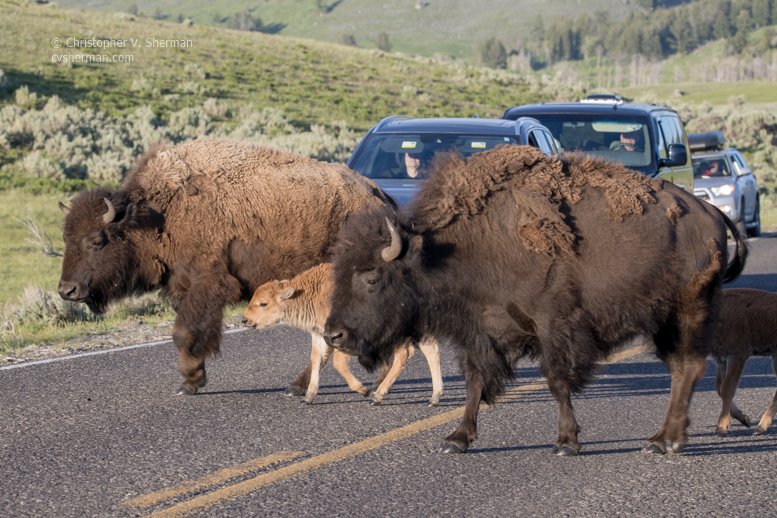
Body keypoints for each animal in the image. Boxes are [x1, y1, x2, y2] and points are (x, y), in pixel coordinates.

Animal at [58, 139, 390, 395]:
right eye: (65, 237)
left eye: (97, 240)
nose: (67, 290)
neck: (160, 212)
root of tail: (377, 195)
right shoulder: (185, 287)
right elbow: (190, 331)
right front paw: (192, 380)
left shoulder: (209, 284)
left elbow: (184, 332)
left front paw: (190, 380)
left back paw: (305, 385)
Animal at [324, 145, 747, 455]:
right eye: (338, 272)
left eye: (371, 277)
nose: (333, 335)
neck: (453, 249)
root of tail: (711, 213)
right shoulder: (480, 331)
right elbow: (476, 381)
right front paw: (457, 439)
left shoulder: (553, 326)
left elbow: (557, 381)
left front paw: (566, 443)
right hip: (665, 320)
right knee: (679, 369)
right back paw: (661, 439)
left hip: (688, 310)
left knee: (688, 367)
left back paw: (667, 442)